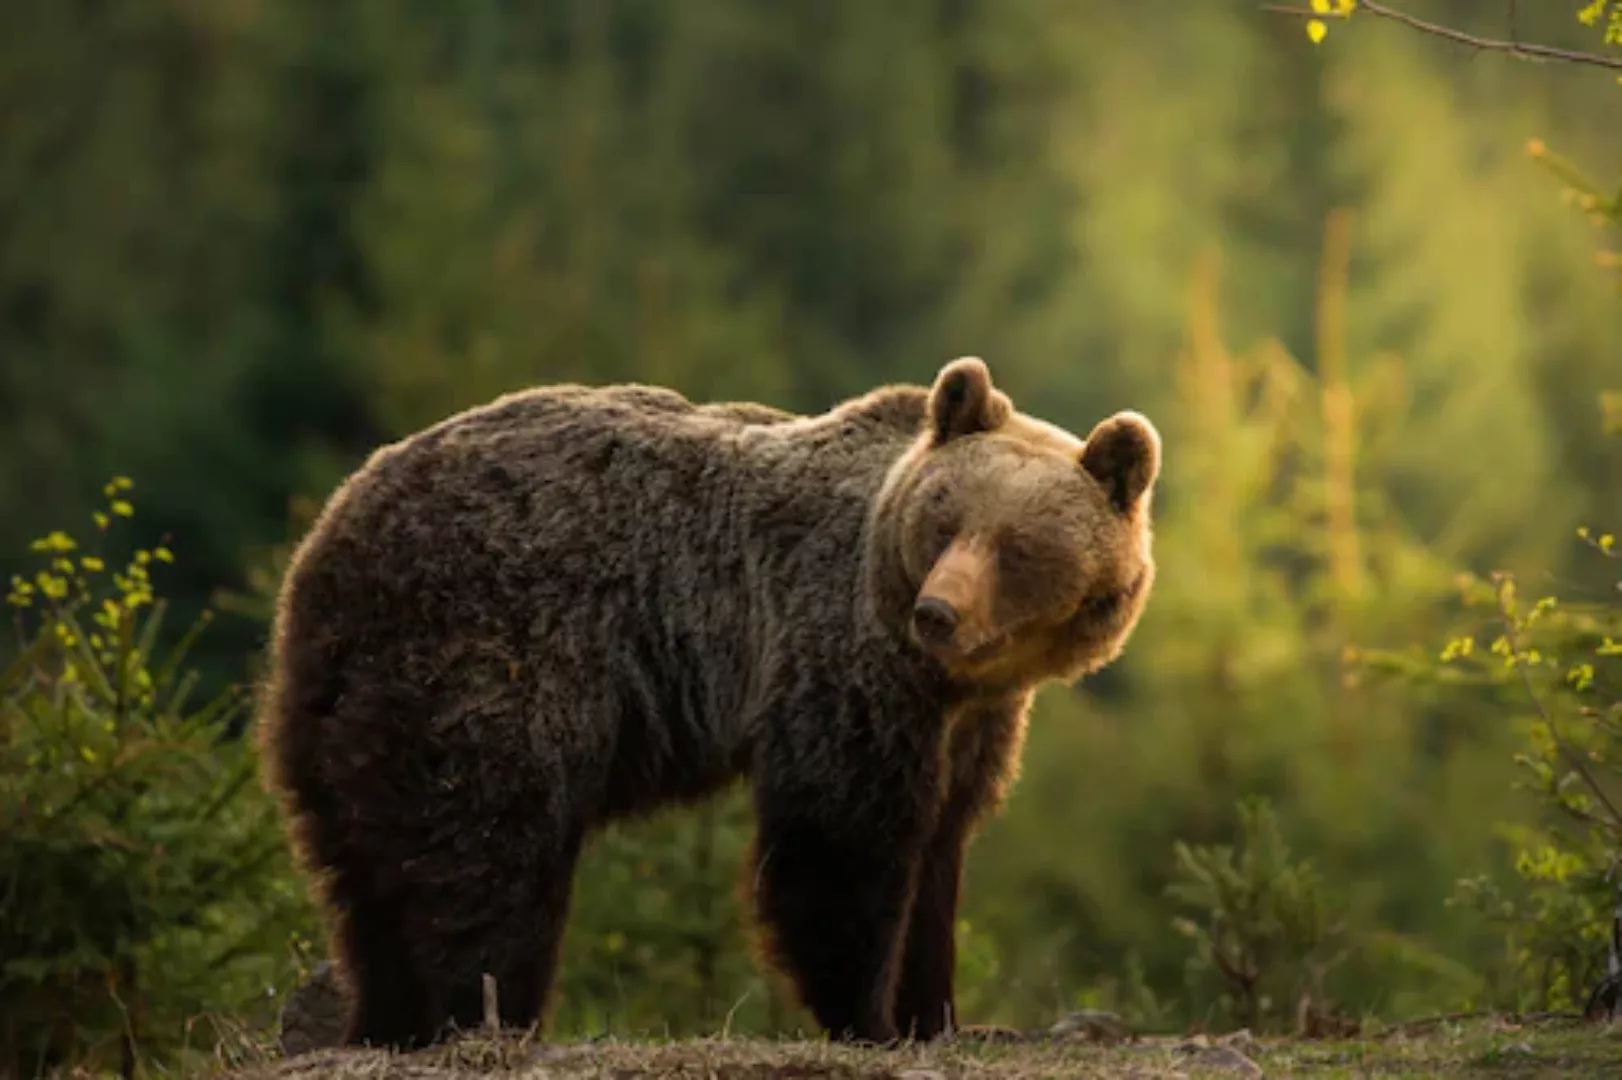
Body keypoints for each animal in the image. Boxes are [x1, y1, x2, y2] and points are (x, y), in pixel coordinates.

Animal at [256, 356, 1154, 1044]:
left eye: (1017, 546)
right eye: (944, 521)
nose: (938, 612)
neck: (950, 678)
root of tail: (331, 536)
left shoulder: (970, 721)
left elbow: (940, 849)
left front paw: (938, 1015)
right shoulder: (839, 656)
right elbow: (842, 840)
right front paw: (868, 1017)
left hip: (345, 700)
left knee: (364, 869)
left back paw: (383, 1017)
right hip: (489, 652)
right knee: (487, 850)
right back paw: (486, 1015)